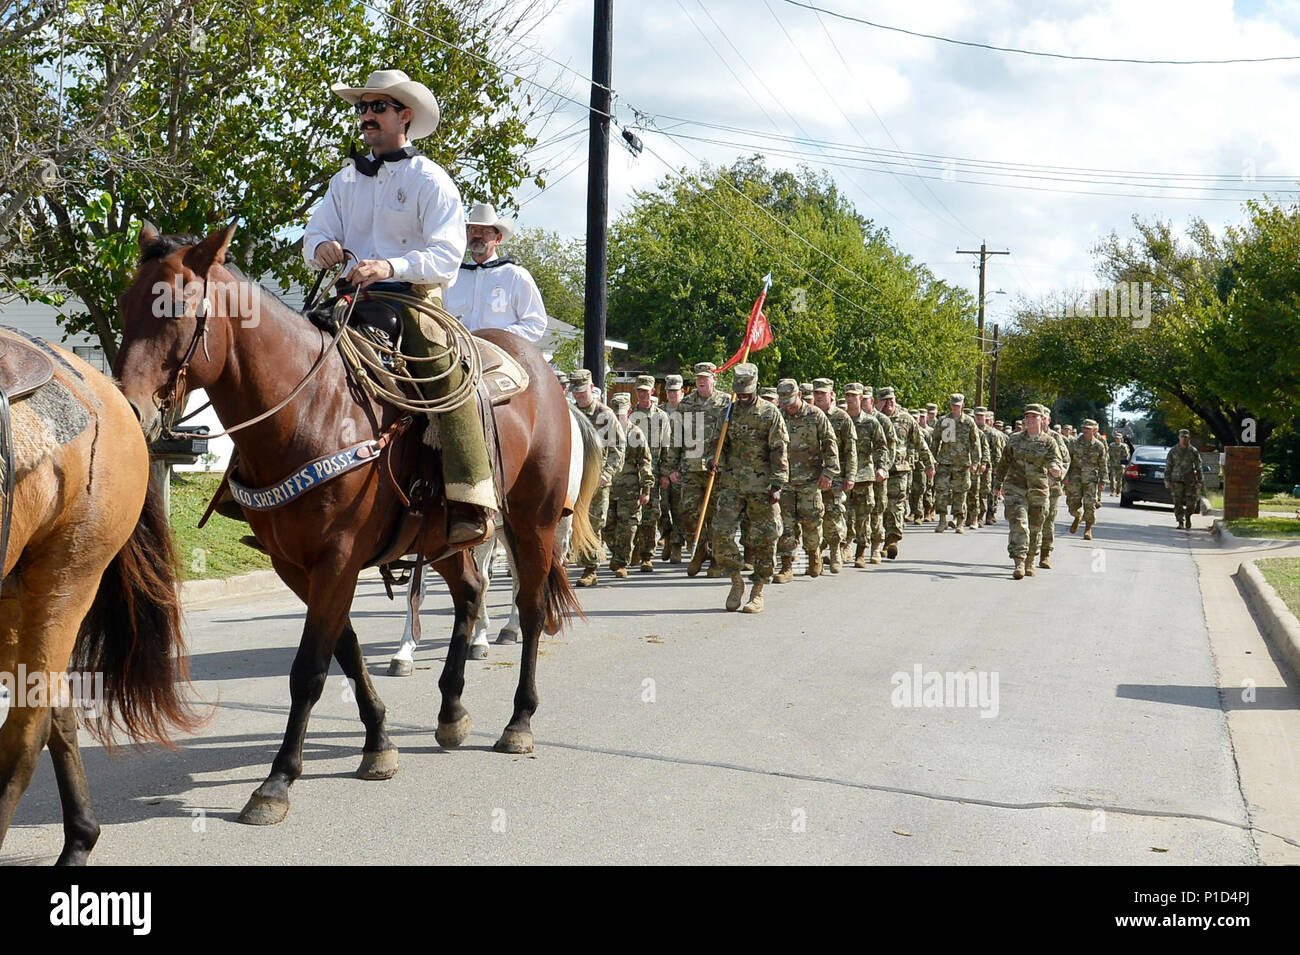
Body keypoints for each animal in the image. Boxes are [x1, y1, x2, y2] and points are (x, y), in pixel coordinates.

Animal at [384, 407, 585, 675]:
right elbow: (416, 591)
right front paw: (404, 651)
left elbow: (484, 582)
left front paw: (479, 639)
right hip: (509, 533)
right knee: (520, 576)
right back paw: (510, 628)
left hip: (553, 525)